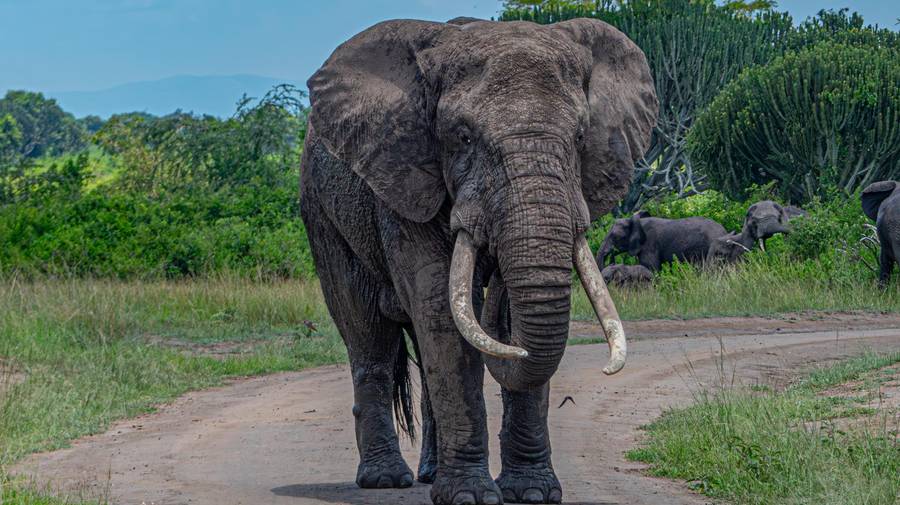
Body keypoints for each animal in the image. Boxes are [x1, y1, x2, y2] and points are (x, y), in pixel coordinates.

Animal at [299, 17, 657, 505]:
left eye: (581, 137)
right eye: (464, 138)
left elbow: (500, 323)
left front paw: (532, 493)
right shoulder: (407, 180)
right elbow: (441, 312)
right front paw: (469, 497)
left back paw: (429, 473)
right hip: (322, 214)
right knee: (368, 334)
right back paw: (385, 479)